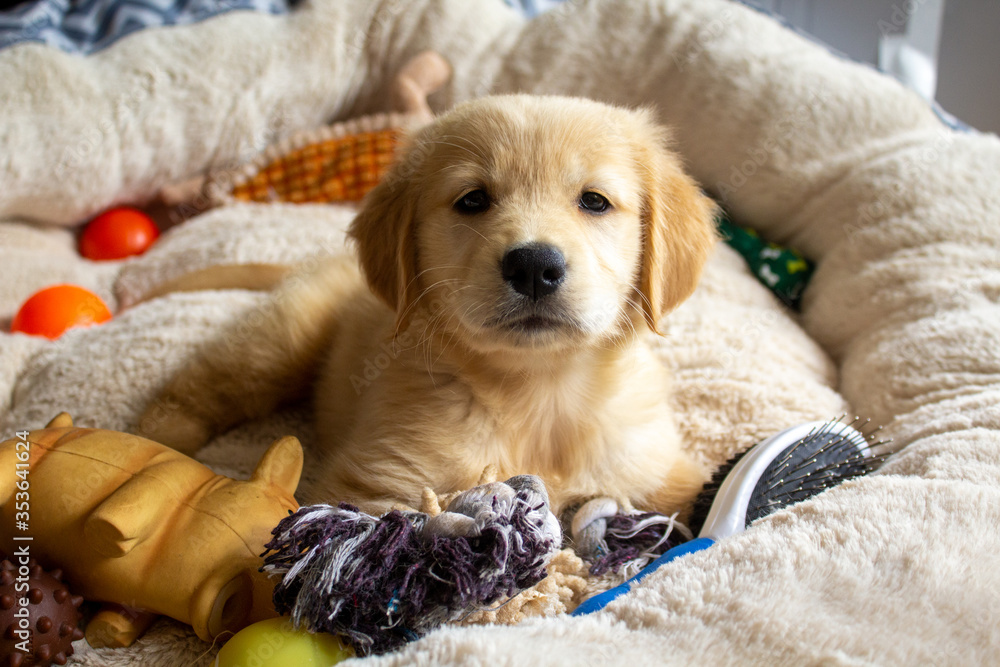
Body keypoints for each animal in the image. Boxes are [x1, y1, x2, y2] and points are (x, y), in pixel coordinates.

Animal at [141, 94, 720, 520]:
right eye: (473, 200)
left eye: (594, 201)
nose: (534, 266)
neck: (539, 394)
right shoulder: (380, 483)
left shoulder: (652, 465)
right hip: (282, 338)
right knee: (201, 388)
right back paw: (154, 443)